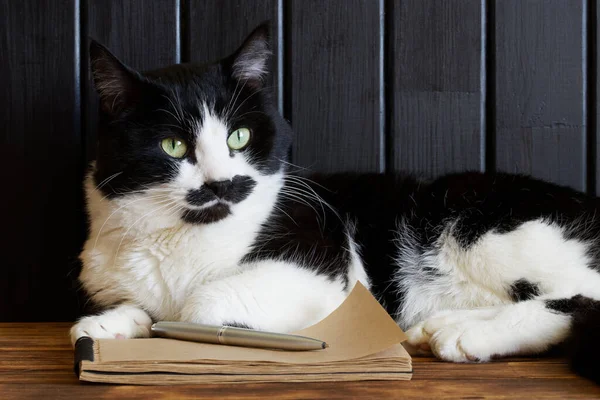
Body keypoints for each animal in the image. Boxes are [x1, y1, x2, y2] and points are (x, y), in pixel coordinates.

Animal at [71, 22, 600, 384]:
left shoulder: (323, 266)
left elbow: (199, 306)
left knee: (581, 295)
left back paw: (470, 335)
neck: (181, 235)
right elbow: (134, 308)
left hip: (476, 222)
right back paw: (440, 326)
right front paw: (107, 324)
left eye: (239, 136)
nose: (222, 184)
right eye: (173, 146)